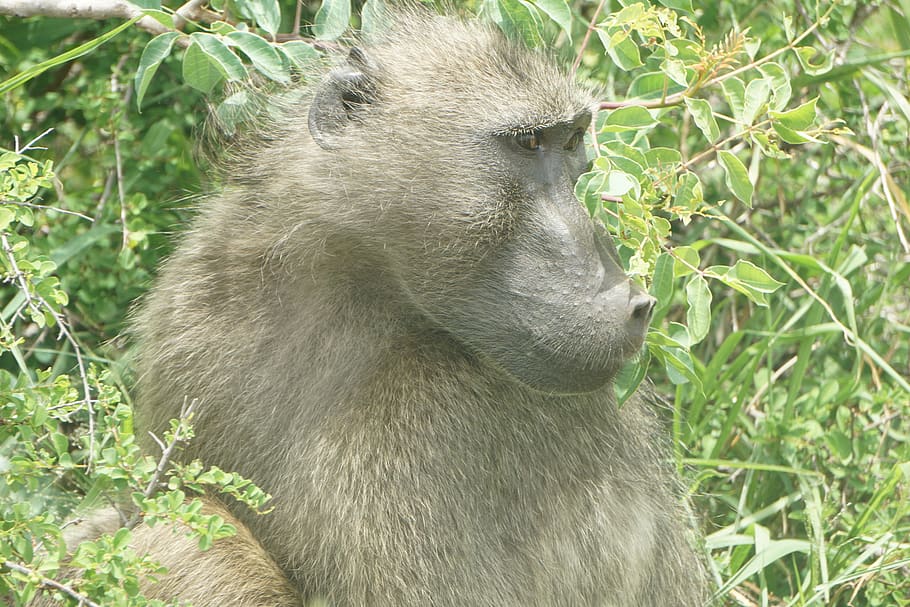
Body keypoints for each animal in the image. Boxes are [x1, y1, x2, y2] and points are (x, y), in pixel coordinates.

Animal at [33, 11, 707, 607]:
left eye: (571, 144)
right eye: (530, 142)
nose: (632, 300)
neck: (352, 284)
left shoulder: (434, 424)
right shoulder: (197, 306)